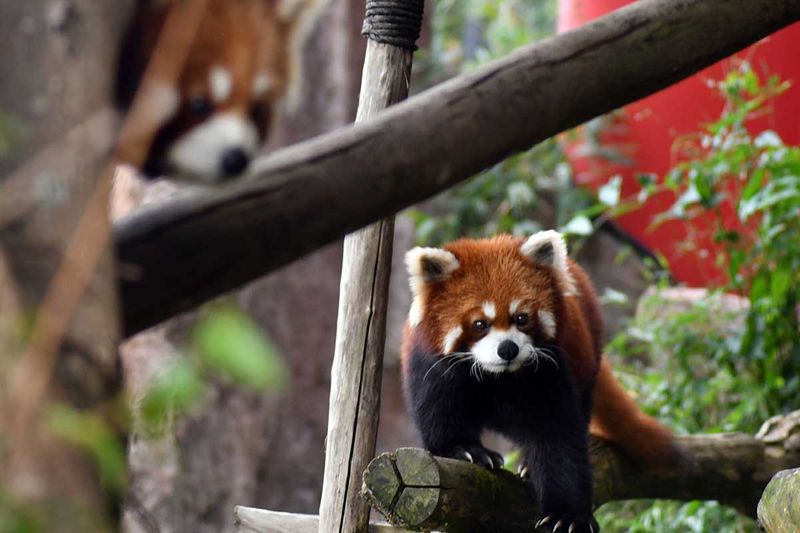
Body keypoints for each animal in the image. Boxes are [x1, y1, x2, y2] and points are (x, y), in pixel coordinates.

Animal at [404, 230, 680, 532]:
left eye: (522, 318)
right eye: (479, 324)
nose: (508, 349)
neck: (496, 378)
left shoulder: (548, 371)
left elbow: (558, 437)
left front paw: (568, 515)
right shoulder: (434, 369)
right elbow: (440, 416)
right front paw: (466, 450)